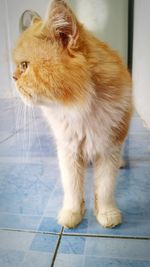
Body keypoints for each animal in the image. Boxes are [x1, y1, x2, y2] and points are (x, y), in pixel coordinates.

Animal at [12, 0, 132, 230]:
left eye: (24, 66)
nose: (12, 77)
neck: (80, 109)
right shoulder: (68, 149)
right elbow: (73, 188)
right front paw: (72, 214)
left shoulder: (109, 148)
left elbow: (105, 188)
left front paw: (107, 213)